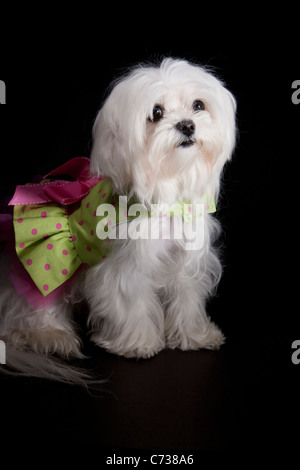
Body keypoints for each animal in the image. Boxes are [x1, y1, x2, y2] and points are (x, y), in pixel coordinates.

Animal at [0, 57, 236, 382]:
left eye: (198, 105)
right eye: (156, 113)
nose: (187, 125)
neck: (166, 193)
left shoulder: (186, 264)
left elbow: (187, 301)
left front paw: (195, 336)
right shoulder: (125, 268)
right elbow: (131, 303)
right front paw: (138, 344)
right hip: (44, 271)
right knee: (28, 317)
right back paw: (51, 337)